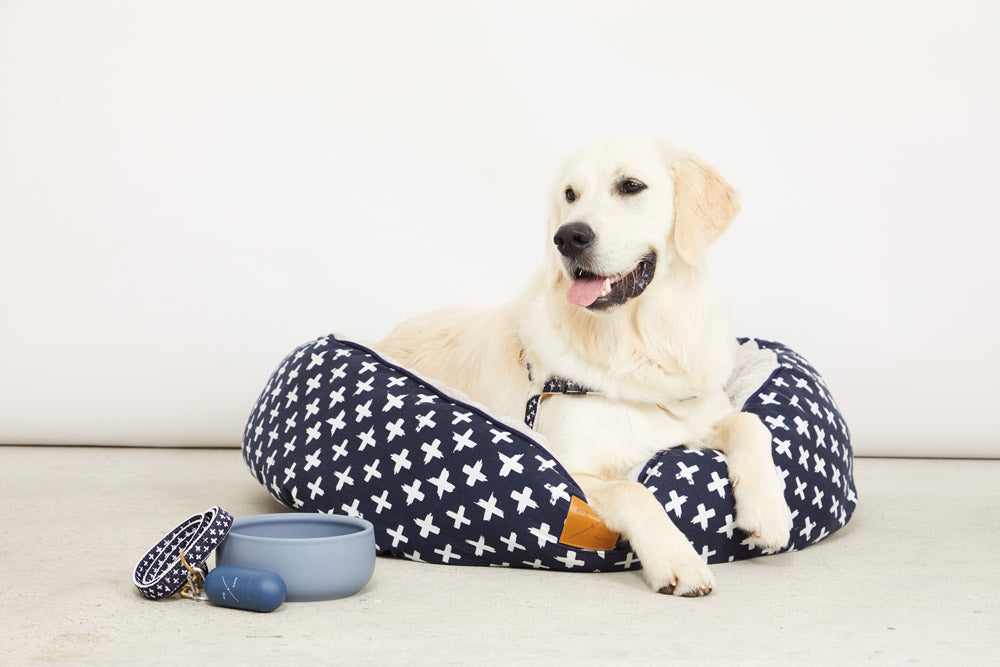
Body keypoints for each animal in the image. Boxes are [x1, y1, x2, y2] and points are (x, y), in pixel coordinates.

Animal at [378, 136, 792, 596]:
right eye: (570, 195)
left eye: (631, 186)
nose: (568, 236)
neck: (641, 347)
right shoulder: (575, 471)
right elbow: (633, 491)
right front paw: (678, 559)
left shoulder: (696, 415)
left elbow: (750, 423)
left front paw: (769, 512)